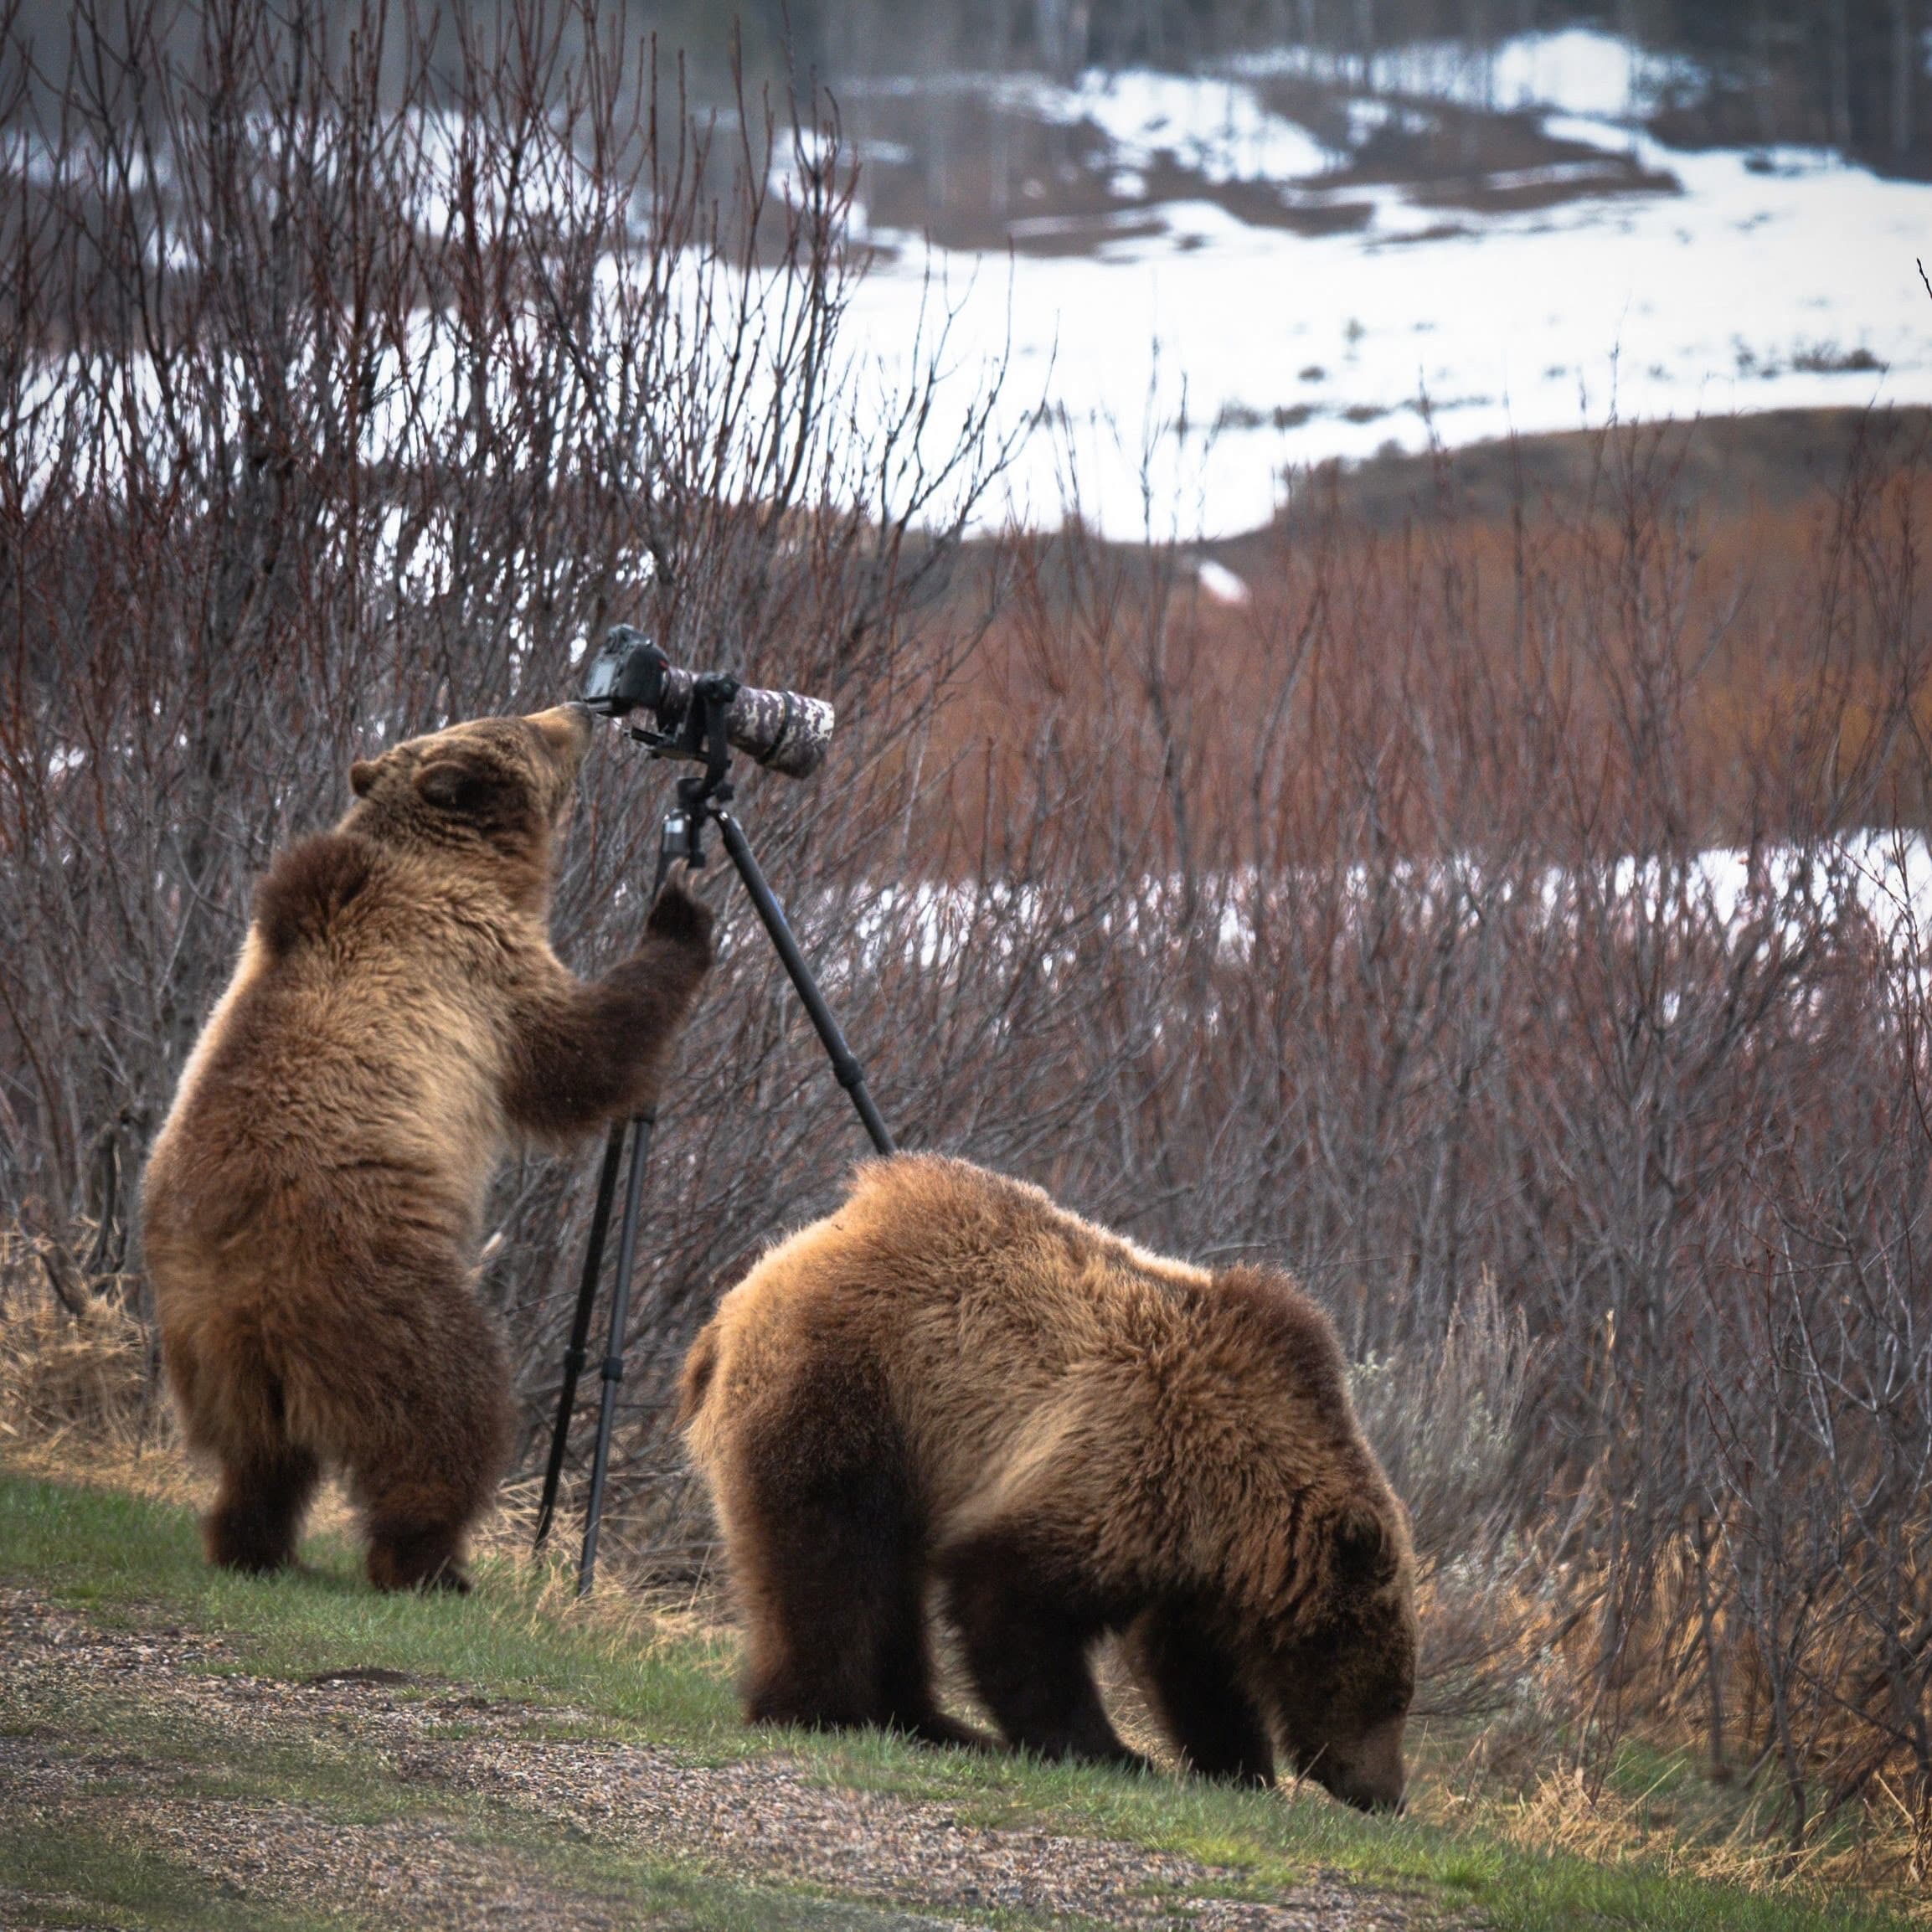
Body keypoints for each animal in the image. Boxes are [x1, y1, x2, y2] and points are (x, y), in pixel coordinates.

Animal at [142, 704, 714, 1592]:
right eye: (530, 729)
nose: (582, 711)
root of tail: (247, 1295)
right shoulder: (476, 966)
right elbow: (578, 1053)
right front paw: (680, 913)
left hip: (204, 1349)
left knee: (260, 1459)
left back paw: (252, 1542)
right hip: (380, 1290)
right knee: (444, 1415)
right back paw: (431, 1559)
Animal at [678, 1154, 1417, 1812]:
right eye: (1388, 1694)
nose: (1387, 1794)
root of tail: (751, 1283)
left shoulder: (1185, 1556)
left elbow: (1192, 1667)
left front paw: (1239, 1766)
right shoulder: (1121, 1466)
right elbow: (1014, 1605)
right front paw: (1112, 1751)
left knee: (886, 1584)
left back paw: (930, 1721)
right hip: (853, 1390)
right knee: (829, 1559)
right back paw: (820, 1708)